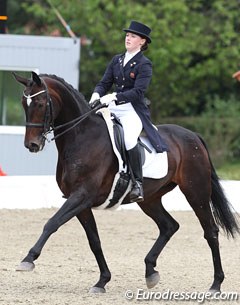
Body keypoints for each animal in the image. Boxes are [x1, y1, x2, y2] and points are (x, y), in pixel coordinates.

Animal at [14, 71, 239, 292]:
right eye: (24, 104)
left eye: (40, 103)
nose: (31, 145)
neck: (82, 138)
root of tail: (193, 136)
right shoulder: (81, 202)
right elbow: (94, 240)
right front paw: (102, 281)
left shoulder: (82, 195)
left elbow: (52, 223)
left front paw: (28, 259)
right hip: (150, 199)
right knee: (169, 226)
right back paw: (150, 272)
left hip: (196, 192)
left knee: (210, 232)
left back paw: (216, 284)